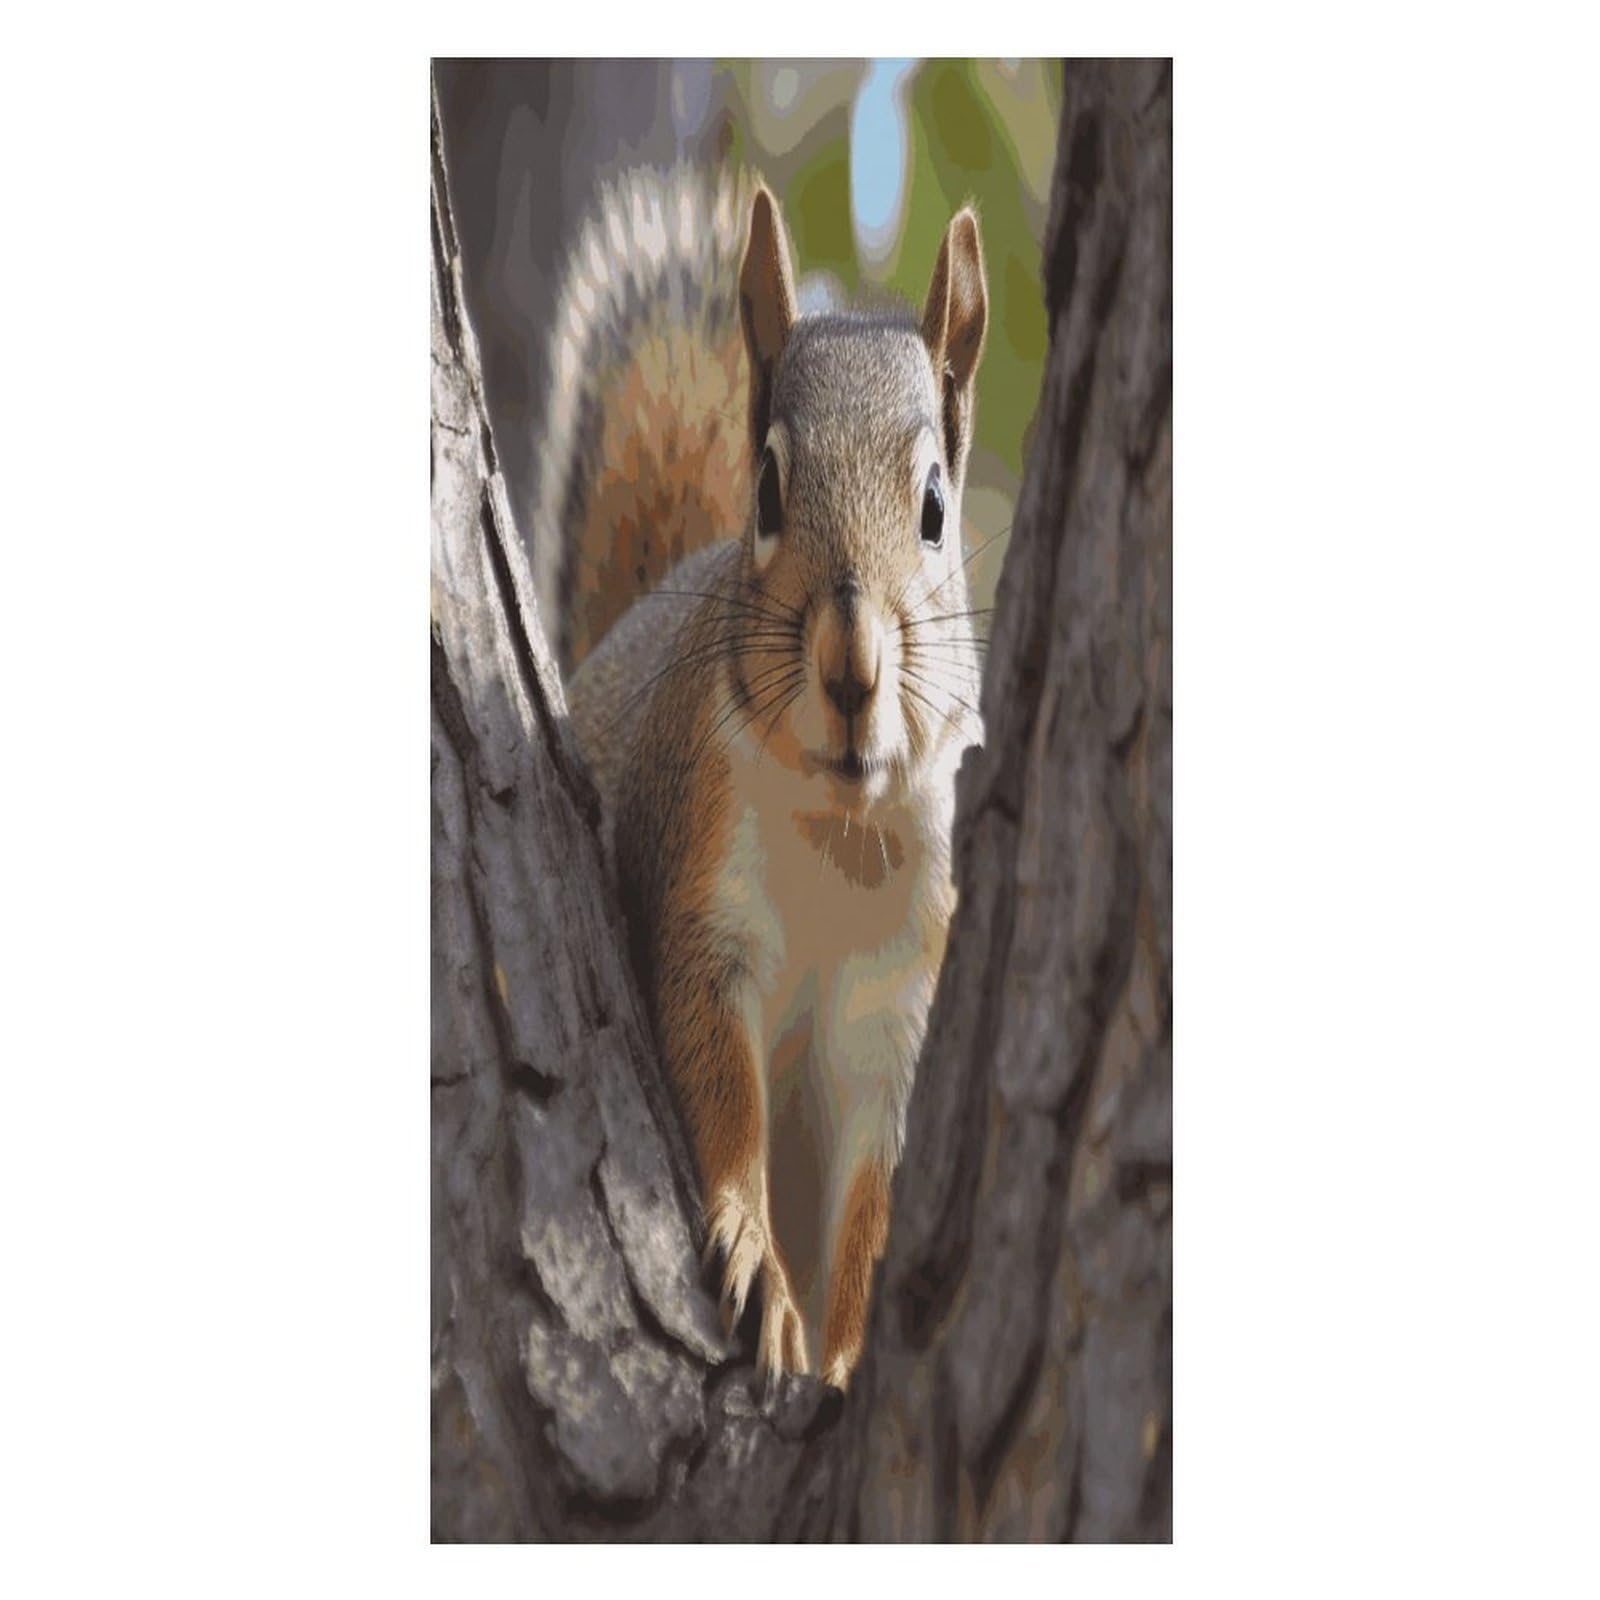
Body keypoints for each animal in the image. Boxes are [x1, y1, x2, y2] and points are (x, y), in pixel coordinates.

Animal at [546, 165, 988, 1389]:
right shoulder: (702, 890)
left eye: (936, 509)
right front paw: (752, 1248)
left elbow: (874, 1204)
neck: (841, 826)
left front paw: (840, 1353)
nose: (850, 665)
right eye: (768, 492)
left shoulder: (903, 995)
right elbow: (718, 1083)